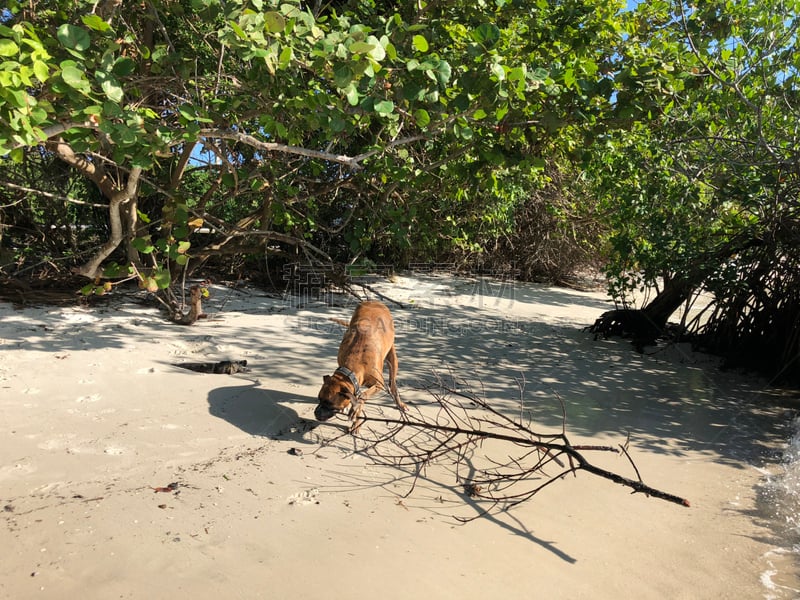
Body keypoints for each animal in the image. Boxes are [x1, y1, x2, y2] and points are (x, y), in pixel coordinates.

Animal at [316, 300, 406, 432]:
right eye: (319, 399)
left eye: (330, 404)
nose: (316, 413)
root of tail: (374, 301)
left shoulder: (379, 385)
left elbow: (363, 396)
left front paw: (356, 413)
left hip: (392, 358)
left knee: (393, 385)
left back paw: (399, 403)